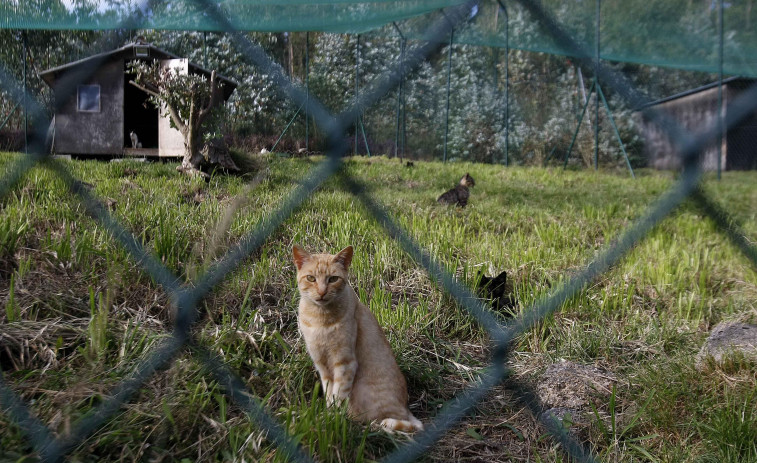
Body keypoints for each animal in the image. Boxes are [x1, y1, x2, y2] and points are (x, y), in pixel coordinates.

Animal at [290, 245, 422, 434]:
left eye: (333, 279)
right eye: (311, 278)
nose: (322, 292)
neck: (319, 319)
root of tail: (406, 409)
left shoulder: (345, 363)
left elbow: (338, 396)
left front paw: (332, 419)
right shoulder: (322, 366)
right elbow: (329, 395)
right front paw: (327, 416)